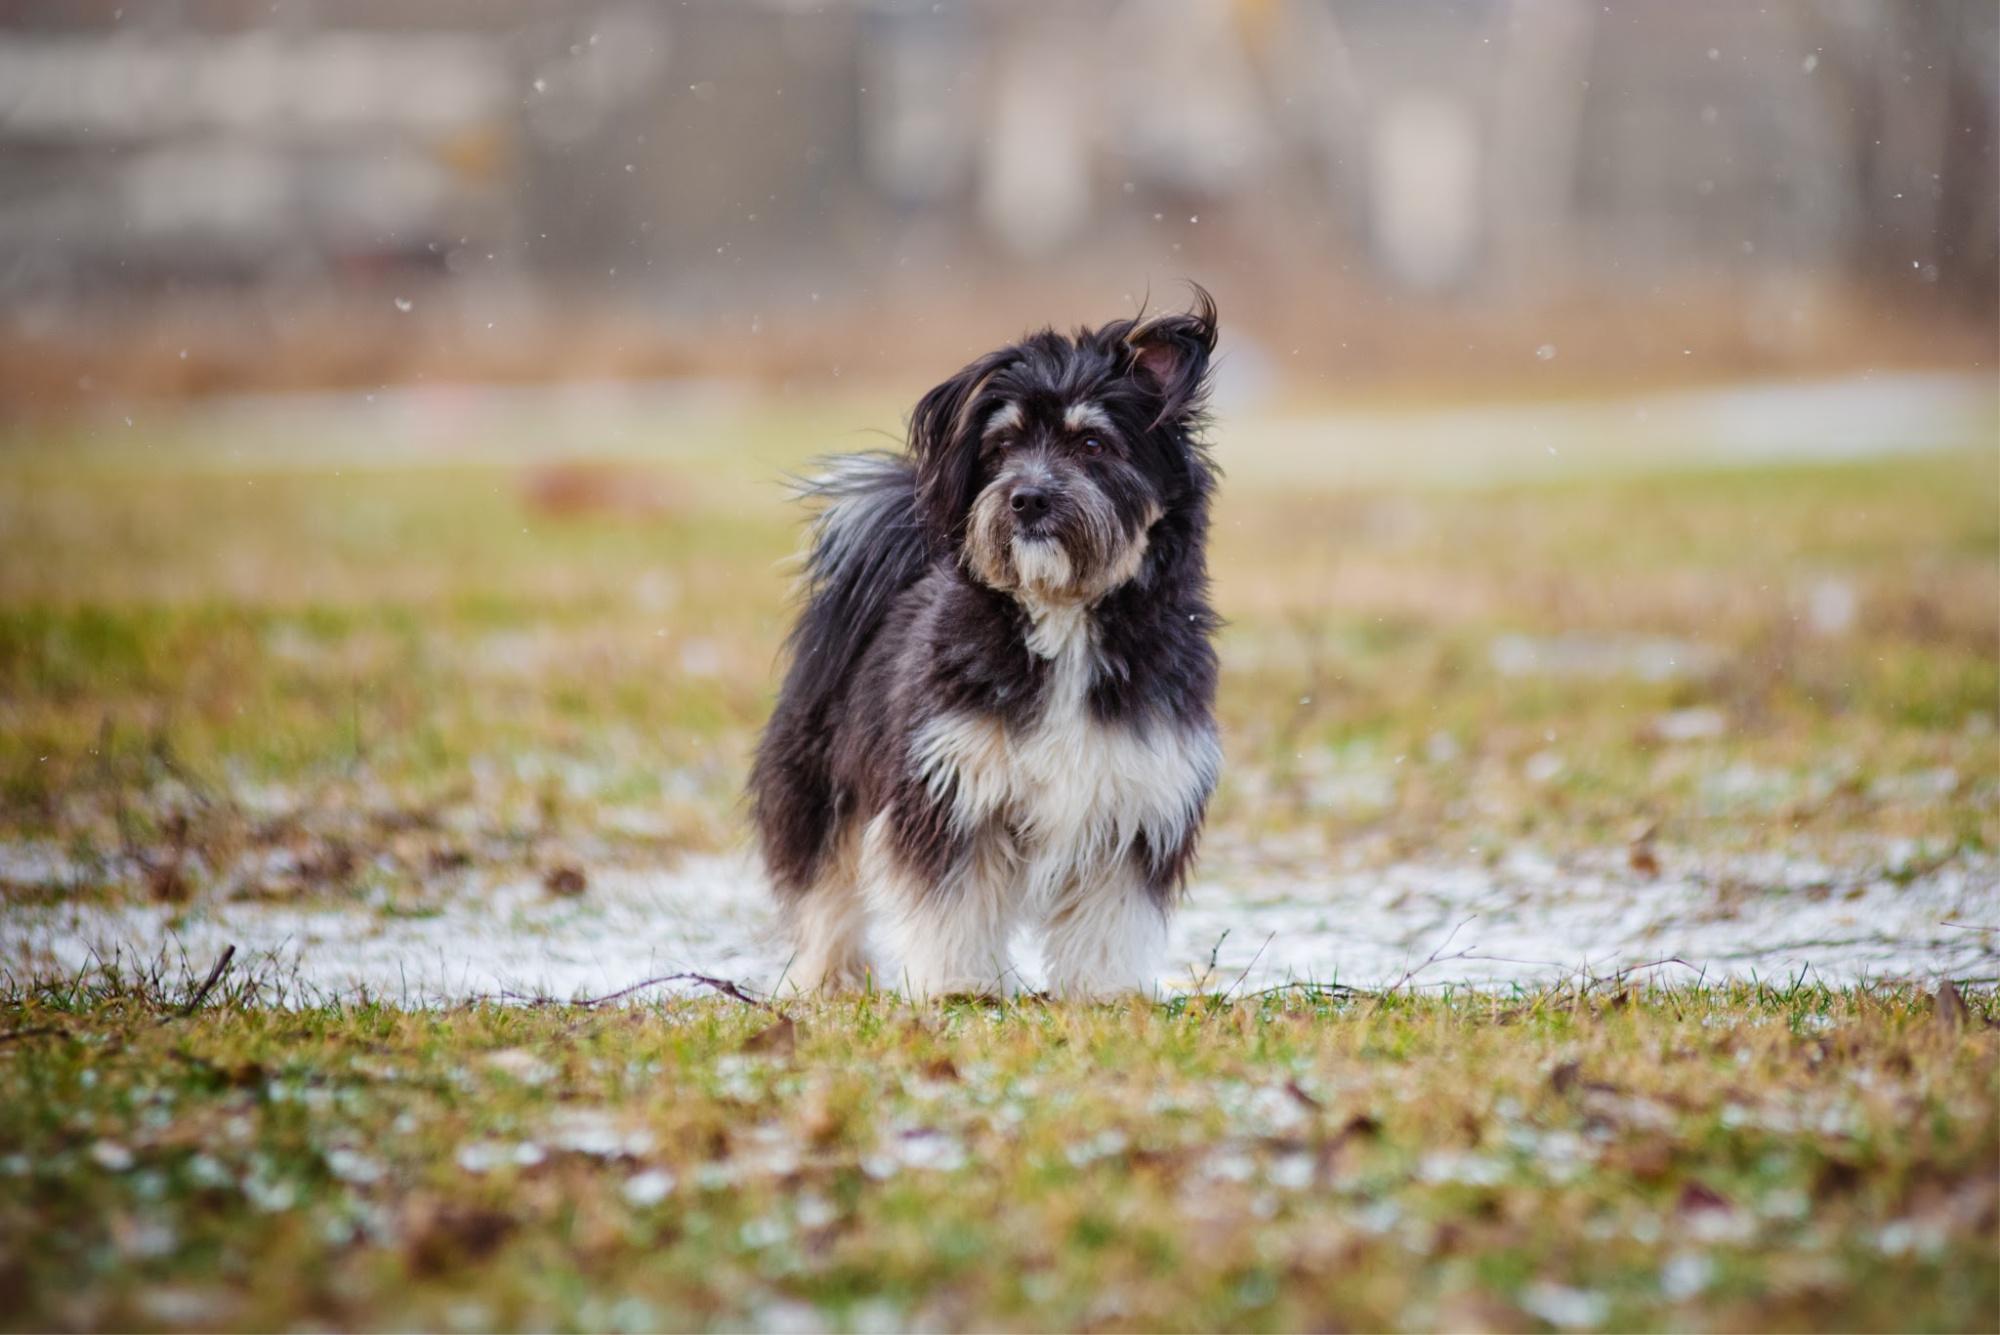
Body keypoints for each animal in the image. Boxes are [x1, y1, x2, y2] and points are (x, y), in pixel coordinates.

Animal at [748, 293, 1216, 999]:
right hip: (820, 777)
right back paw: (826, 979)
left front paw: (1103, 993)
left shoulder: (1137, 795)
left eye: (1092, 443)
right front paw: (958, 987)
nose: (1027, 498)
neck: (1063, 618)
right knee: (824, 886)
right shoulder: (950, 786)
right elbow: (953, 902)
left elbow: (1111, 913)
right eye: (1003, 445)